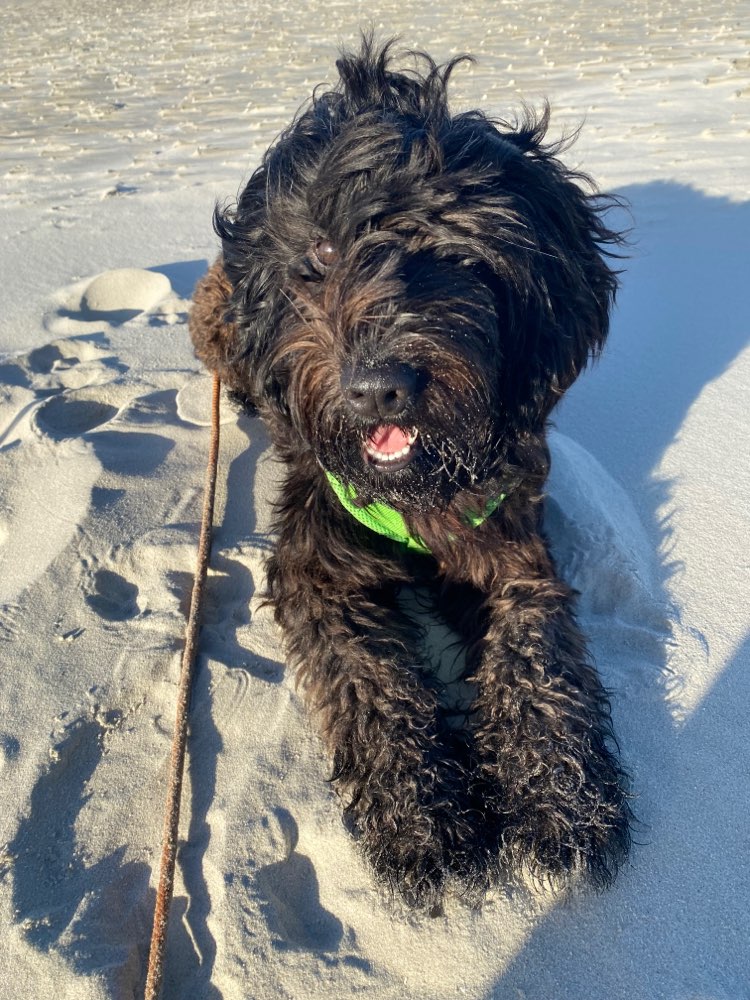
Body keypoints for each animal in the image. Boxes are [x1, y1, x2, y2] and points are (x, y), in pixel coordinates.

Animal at [191, 39, 632, 912]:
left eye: (450, 250)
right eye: (321, 255)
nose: (377, 389)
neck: (415, 489)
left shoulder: (511, 540)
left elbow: (537, 656)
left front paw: (563, 799)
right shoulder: (316, 560)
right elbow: (371, 681)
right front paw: (422, 819)